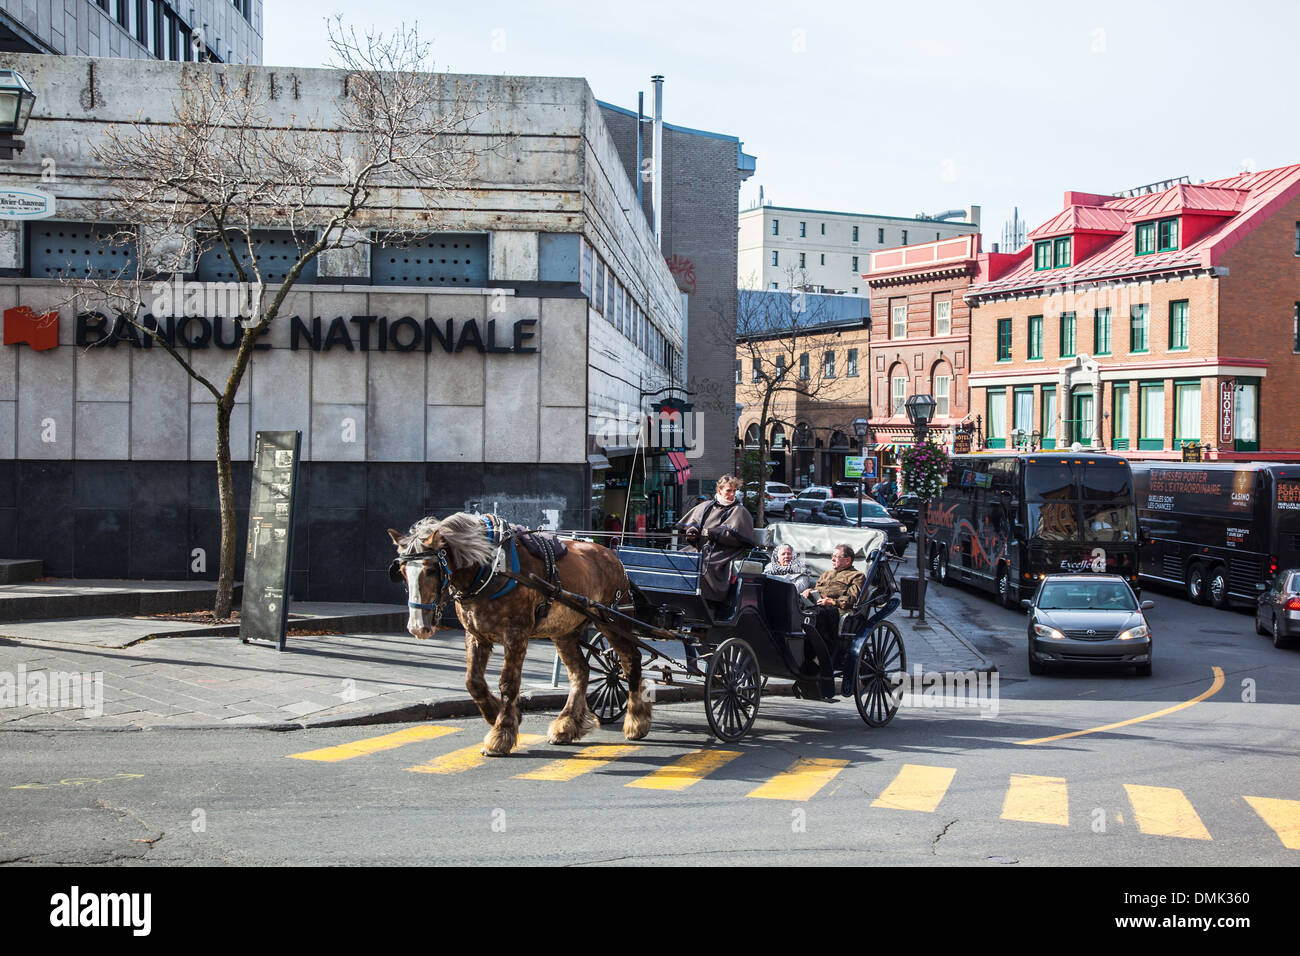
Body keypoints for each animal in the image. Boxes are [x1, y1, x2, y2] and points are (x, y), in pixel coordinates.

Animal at [382, 515, 650, 754]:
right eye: (402, 571)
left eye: (430, 570)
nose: (418, 627)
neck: (491, 568)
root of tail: (614, 557)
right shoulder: (475, 634)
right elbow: (473, 682)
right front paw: (496, 715)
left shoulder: (516, 634)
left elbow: (508, 684)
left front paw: (501, 735)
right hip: (564, 630)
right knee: (580, 671)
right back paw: (566, 725)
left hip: (613, 621)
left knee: (631, 661)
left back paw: (636, 722)